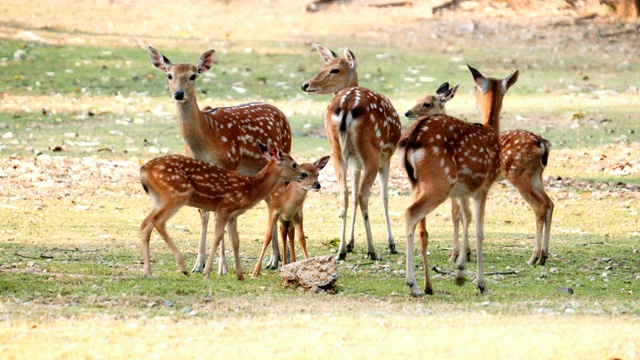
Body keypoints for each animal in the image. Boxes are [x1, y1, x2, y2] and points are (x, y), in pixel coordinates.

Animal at [139, 142, 302, 280]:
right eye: (294, 164)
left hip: (158, 198)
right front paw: (206, 273)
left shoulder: (232, 215)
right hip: (177, 194)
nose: (303, 175)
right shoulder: (224, 207)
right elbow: (217, 238)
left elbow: (235, 240)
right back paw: (183, 266)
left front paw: (240, 276)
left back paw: (148, 273)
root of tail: (143, 170)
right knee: (157, 221)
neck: (249, 189)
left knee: (145, 224)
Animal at [149, 46, 292, 274]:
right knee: (271, 201)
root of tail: (282, 115)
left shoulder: (228, 163)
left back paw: (281, 259)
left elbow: (219, 216)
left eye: (193, 75)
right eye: (169, 75)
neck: (206, 138)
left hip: (285, 152)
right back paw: (274, 259)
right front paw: (198, 264)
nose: (178, 93)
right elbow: (204, 213)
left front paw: (222, 267)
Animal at [300, 43, 400, 260]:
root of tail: (347, 105)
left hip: (337, 151)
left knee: (344, 194)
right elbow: (384, 197)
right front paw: (391, 244)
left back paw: (341, 251)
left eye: (334, 69)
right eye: (324, 66)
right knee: (363, 196)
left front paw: (350, 243)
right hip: (371, 152)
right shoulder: (385, 158)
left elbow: (352, 196)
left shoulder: (355, 163)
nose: (305, 84)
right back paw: (372, 250)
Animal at [400, 64, 520, 296]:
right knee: (411, 213)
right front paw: (481, 283)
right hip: (440, 181)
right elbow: (479, 231)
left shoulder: (463, 191)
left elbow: (464, 218)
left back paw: (424, 285)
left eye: (426, 102)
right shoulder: (483, 187)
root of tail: (412, 140)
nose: (408, 112)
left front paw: (461, 268)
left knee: (420, 226)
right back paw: (414, 286)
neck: (491, 130)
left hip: (417, 183)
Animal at [408, 83, 552, 266]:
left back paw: (533, 257)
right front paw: (467, 253)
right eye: (418, 99)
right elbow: (463, 215)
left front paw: (455, 254)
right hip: (536, 175)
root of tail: (541, 144)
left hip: (517, 173)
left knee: (539, 206)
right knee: (549, 203)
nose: (408, 112)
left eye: (426, 104)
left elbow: (456, 215)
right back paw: (543, 256)